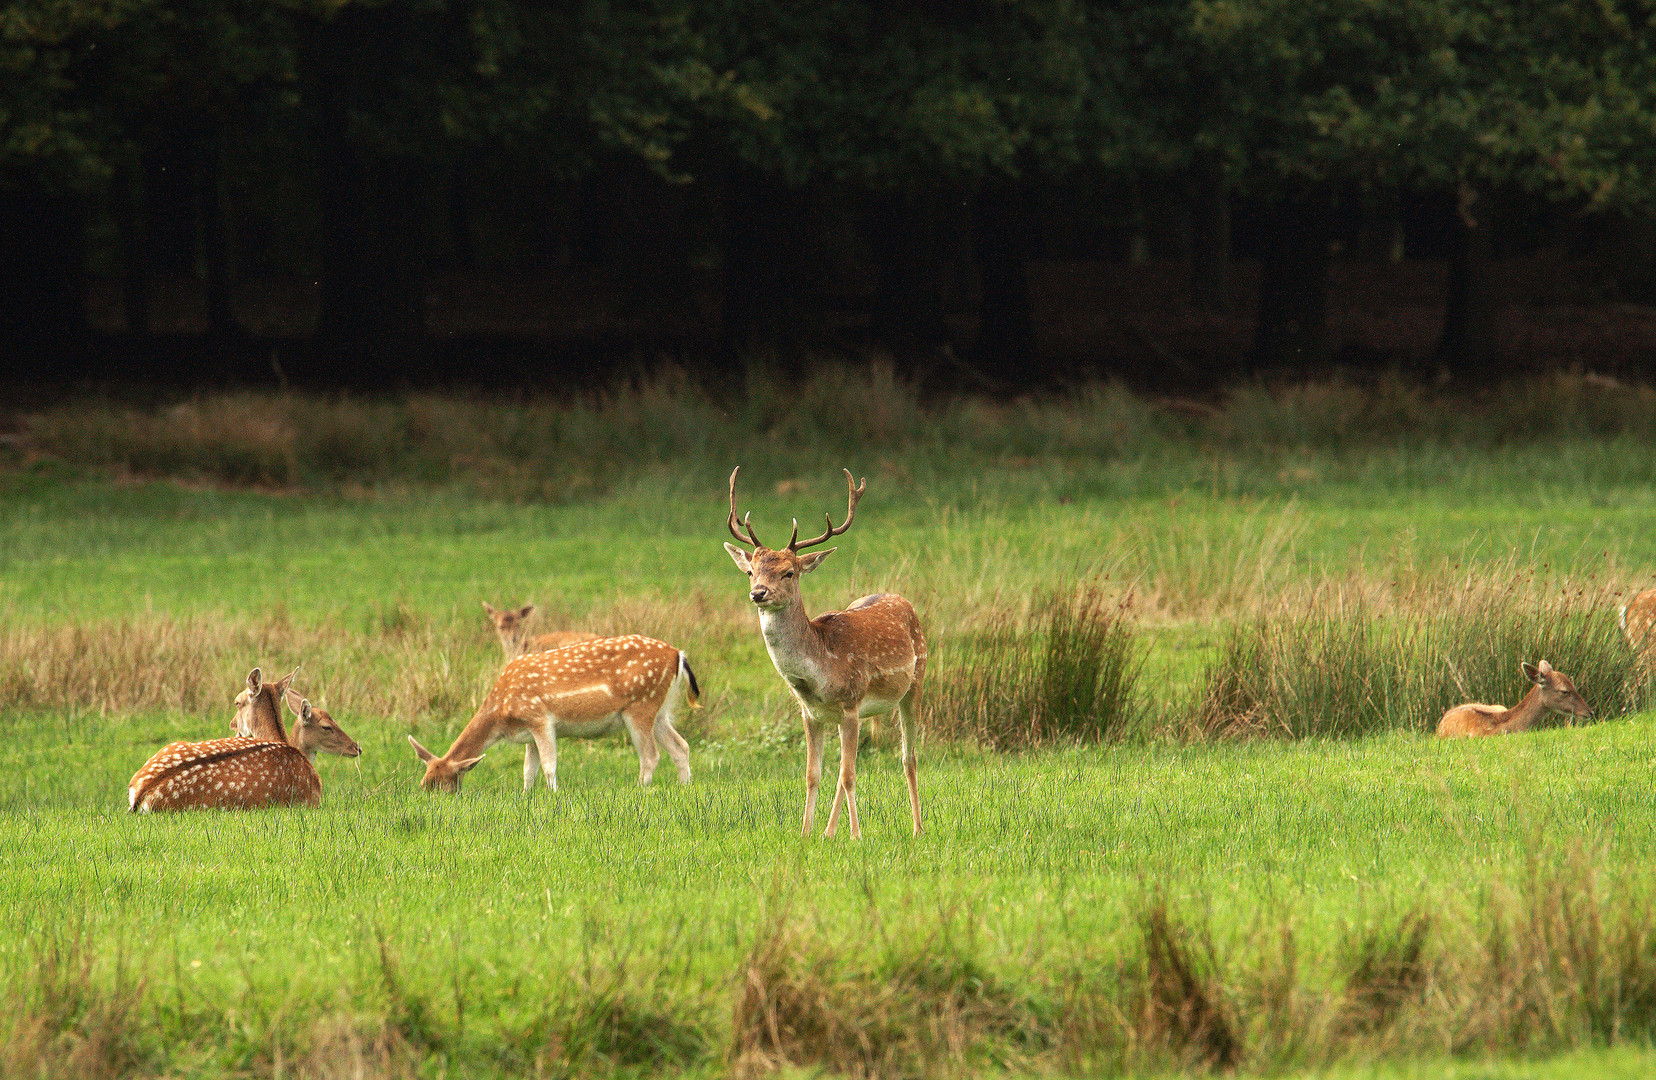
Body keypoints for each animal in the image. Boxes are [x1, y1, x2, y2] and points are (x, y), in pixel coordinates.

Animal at [129, 665, 359, 808]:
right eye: (327, 727)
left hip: (172, 745)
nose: (357, 747)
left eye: (236, 703)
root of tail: (141, 795)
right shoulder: (312, 801)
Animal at [414, 632, 705, 791]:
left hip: (640, 704)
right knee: (681, 746)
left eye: (442, 784)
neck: (502, 712)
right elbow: (527, 769)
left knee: (650, 755)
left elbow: (548, 765)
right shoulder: (528, 733)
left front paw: (553, 794)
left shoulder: (539, 718)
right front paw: (526, 795)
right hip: (661, 710)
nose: (432, 801)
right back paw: (685, 786)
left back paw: (639, 789)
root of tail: (678, 654)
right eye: (424, 783)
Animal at [728, 467, 933, 838]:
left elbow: (849, 775)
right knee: (844, 768)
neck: (818, 672)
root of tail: (901, 598)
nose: (758, 593)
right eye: (751, 571)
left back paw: (917, 828)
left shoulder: (850, 703)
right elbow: (814, 775)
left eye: (789, 572)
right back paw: (828, 831)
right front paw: (807, 833)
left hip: (916, 683)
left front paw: (856, 835)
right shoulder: (811, 713)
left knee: (908, 757)